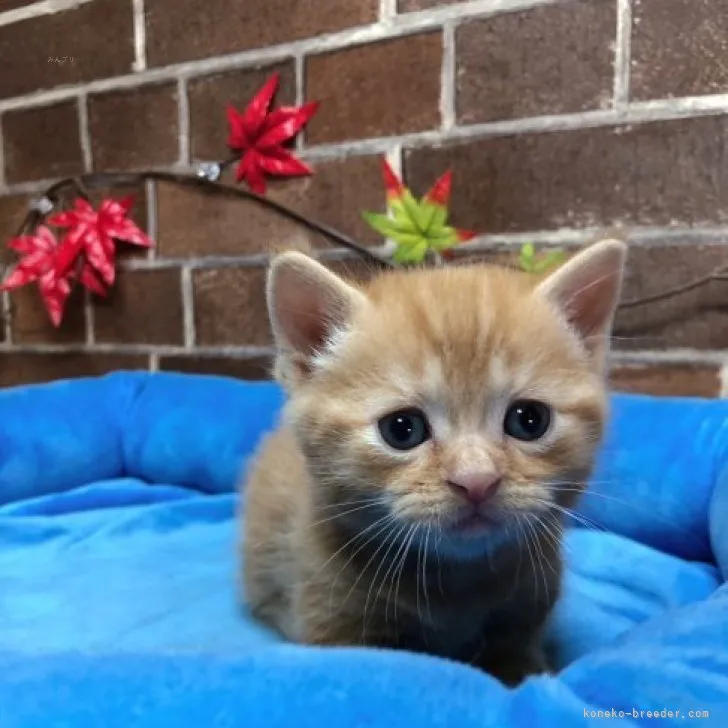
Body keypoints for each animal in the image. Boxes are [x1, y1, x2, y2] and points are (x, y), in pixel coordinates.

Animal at [242, 240, 628, 688]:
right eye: (402, 429)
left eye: (529, 420)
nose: (476, 480)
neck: (455, 583)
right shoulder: (329, 618)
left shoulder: (529, 600)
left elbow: (515, 649)